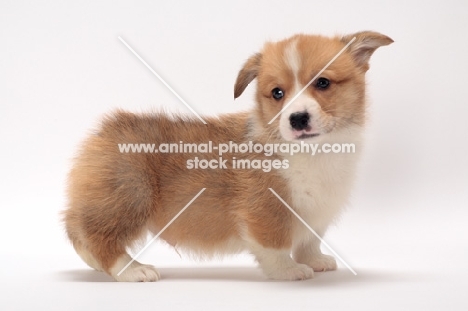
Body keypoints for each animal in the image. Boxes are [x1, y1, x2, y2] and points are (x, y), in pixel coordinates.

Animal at [62, 31, 392, 282]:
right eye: (277, 93)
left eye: (323, 83)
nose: (297, 119)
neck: (316, 150)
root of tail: (105, 131)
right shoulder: (266, 209)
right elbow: (275, 245)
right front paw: (289, 271)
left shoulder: (316, 210)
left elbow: (309, 240)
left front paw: (315, 260)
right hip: (130, 195)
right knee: (99, 238)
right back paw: (132, 270)